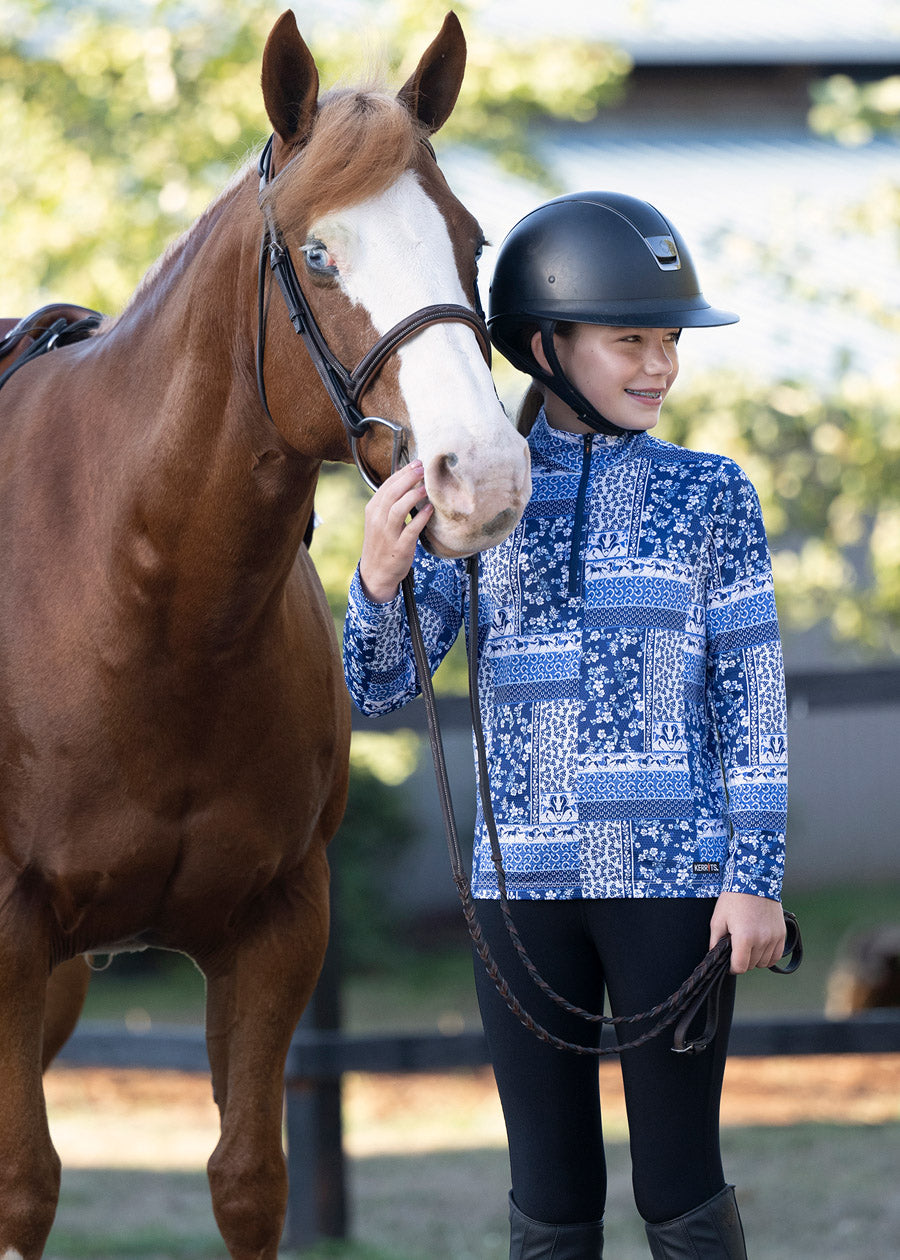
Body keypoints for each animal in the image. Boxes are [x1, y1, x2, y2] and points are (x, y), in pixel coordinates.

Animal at [0, 11, 531, 1258]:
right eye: (320, 256)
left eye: (471, 240)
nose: (483, 475)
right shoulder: (6, 936)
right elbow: (24, 1185)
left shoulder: (277, 924)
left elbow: (249, 1178)